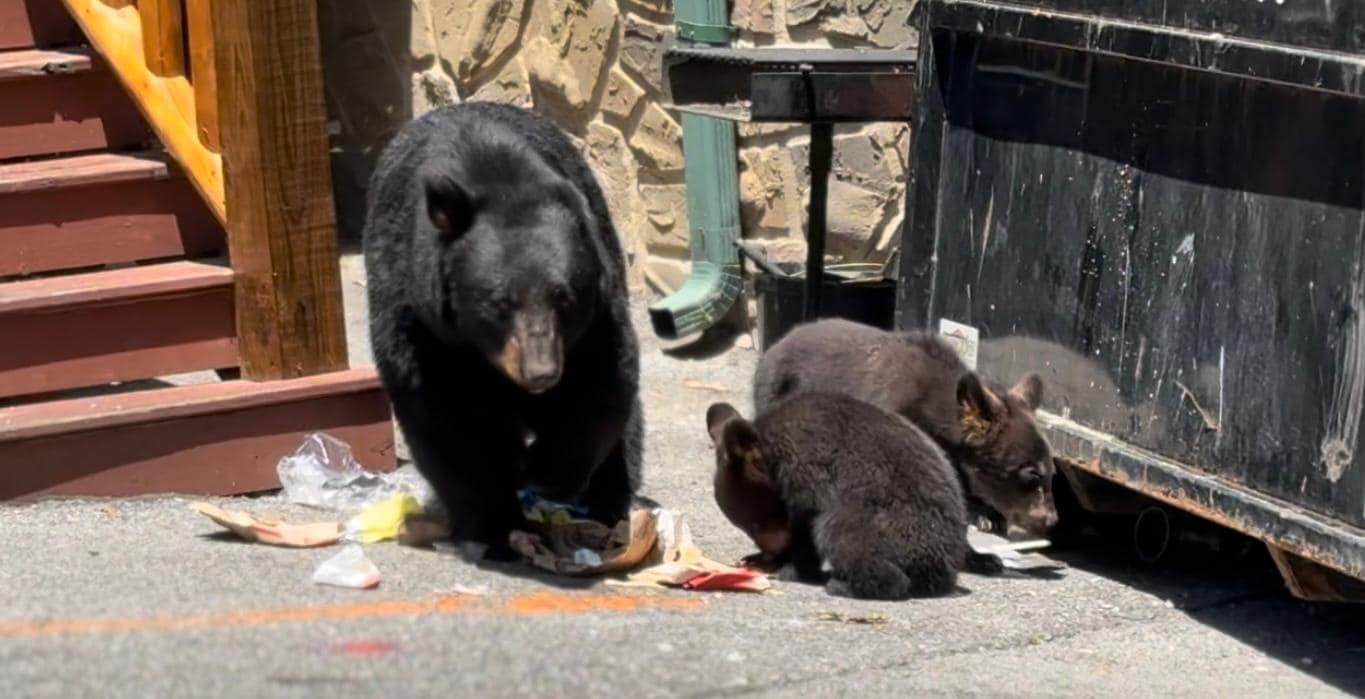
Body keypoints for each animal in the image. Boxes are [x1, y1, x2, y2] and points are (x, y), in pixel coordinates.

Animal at [361, 101, 643, 561]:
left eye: (564, 297)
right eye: (500, 302)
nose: (541, 372)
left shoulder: (595, 310)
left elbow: (598, 386)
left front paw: (545, 470)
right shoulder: (420, 321)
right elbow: (446, 418)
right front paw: (496, 522)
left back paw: (609, 503)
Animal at [706, 394, 1005, 600]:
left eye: (755, 524)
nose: (769, 550)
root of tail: (940, 568)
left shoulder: (806, 469)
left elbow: (806, 521)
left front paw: (793, 568)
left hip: (883, 525)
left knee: (844, 536)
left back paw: (844, 585)